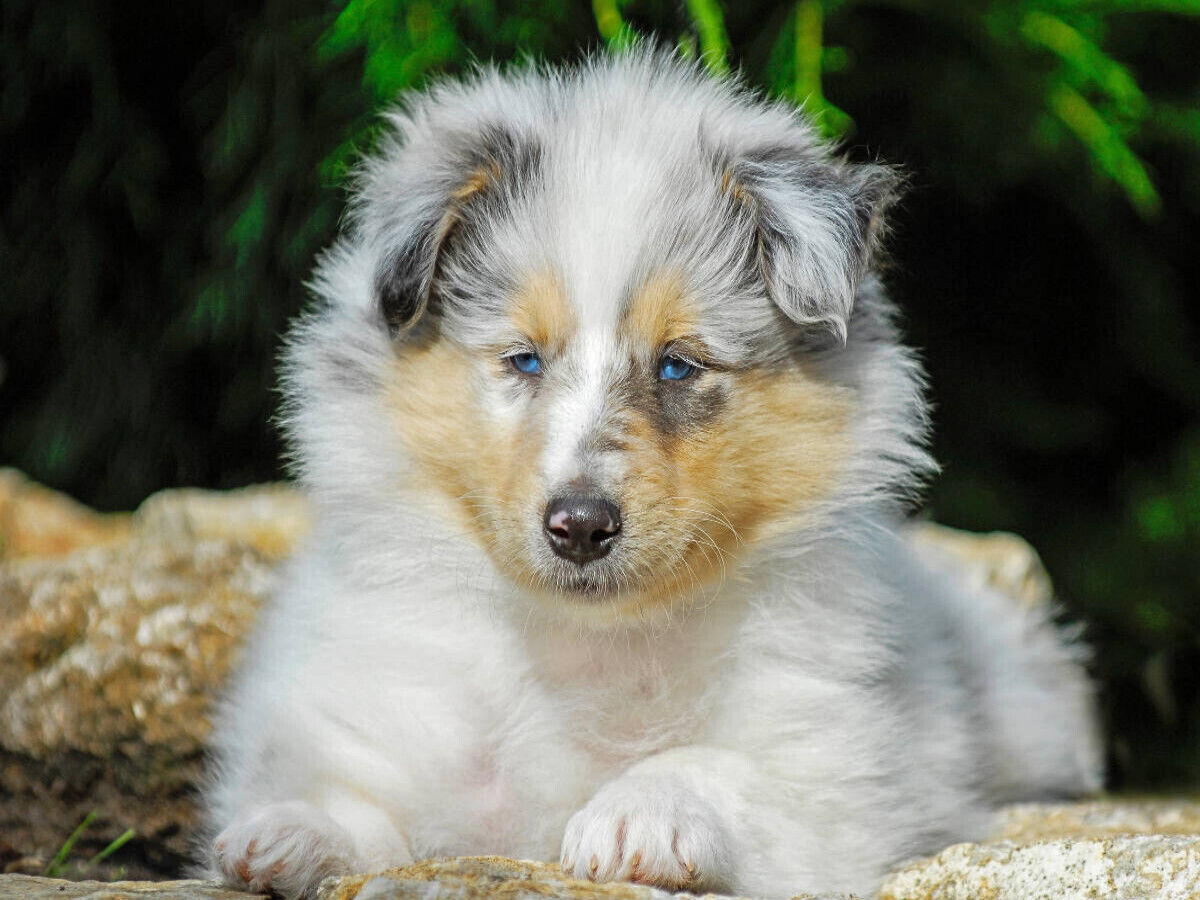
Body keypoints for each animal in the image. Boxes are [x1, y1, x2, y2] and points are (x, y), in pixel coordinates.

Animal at [198, 49, 1102, 899]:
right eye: (523, 358)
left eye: (677, 365)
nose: (580, 527)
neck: (587, 642)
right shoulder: (376, 705)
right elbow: (362, 796)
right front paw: (290, 833)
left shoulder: (834, 770)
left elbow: (716, 764)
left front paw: (639, 816)